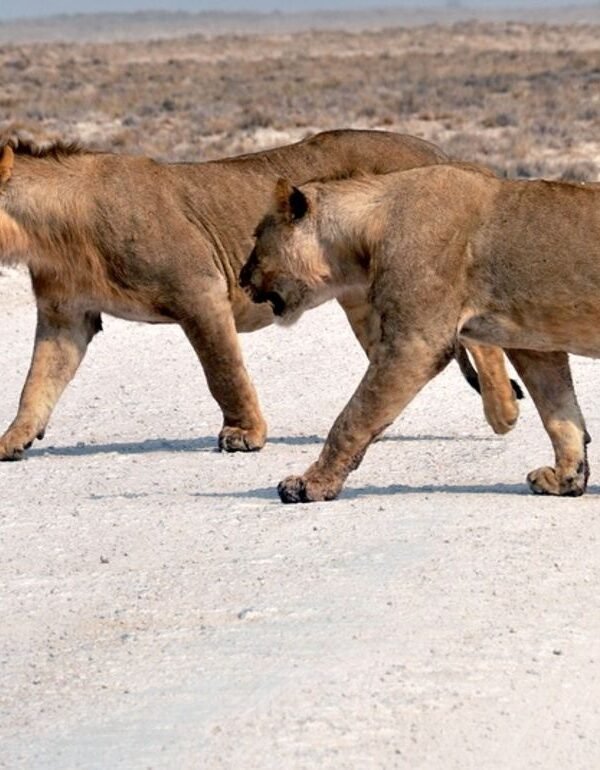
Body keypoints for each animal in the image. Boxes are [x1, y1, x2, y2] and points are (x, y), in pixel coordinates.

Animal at [0, 128, 518, 460]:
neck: (51, 234)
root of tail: (437, 149)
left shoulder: (199, 290)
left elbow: (223, 371)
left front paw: (243, 434)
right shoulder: (65, 315)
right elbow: (38, 380)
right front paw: (14, 439)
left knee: (480, 339)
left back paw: (503, 411)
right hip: (361, 298)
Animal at [241, 166, 595, 503]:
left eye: (257, 237)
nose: (242, 279)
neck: (366, 231)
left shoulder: (415, 344)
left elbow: (353, 418)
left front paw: (311, 484)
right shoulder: (534, 344)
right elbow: (559, 413)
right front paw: (566, 479)